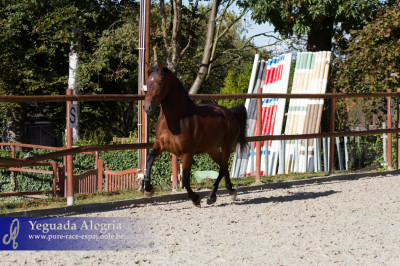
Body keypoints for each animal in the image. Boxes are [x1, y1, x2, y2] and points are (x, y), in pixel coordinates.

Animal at [141, 64, 247, 206]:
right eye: (147, 83)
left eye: (160, 83)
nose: (147, 107)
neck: (176, 120)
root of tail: (230, 113)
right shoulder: (160, 145)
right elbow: (149, 161)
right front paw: (148, 189)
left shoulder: (187, 153)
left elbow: (185, 180)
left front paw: (196, 199)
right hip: (212, 149)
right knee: (223, 166)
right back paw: (229, 191)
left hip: (226, 146)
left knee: (222, 168)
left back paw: (213, 196)